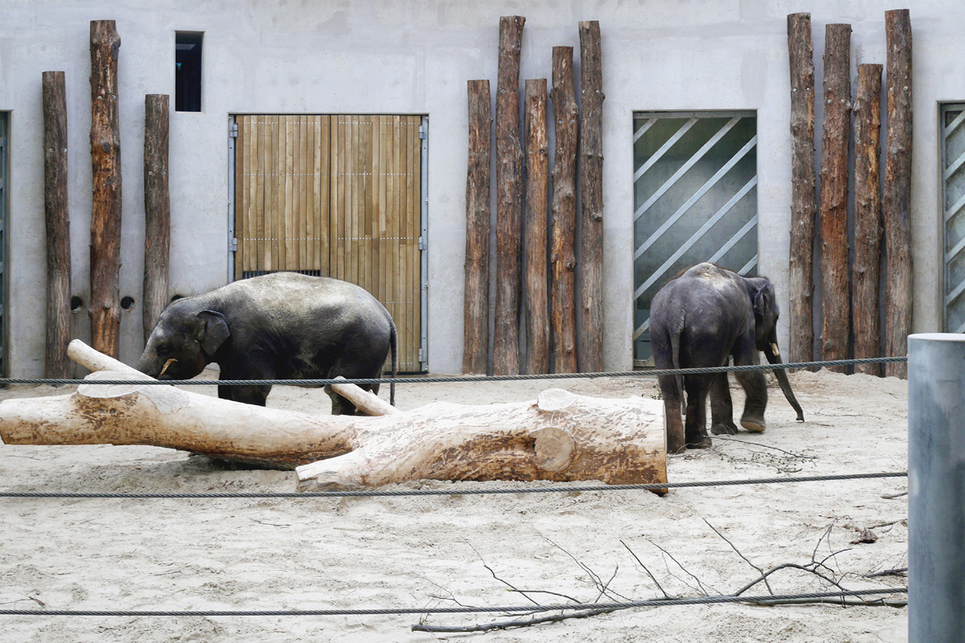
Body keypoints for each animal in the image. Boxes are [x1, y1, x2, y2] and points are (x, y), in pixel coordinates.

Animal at [136, 270, 396, 412]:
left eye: (164, 348)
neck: (209, 298)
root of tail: (385, 312)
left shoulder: (248, 341)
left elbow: (249, 390)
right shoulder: (232, 350)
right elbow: (225, 387)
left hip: (360, 347)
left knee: (342, 392)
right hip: (372, 353)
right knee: (369, 392)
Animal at [648, 262, 804, 452]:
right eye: (776, 318)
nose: (799, 418)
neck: (749, 280)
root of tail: (675, 311)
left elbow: (720, 371)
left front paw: (726, 430)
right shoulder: (746, 321)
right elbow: (746, 367)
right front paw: (754, 425)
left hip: (659, 332)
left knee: (669, 386)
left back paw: (675, 448)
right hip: (703, 331)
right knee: (698, 385)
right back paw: (701, 443)